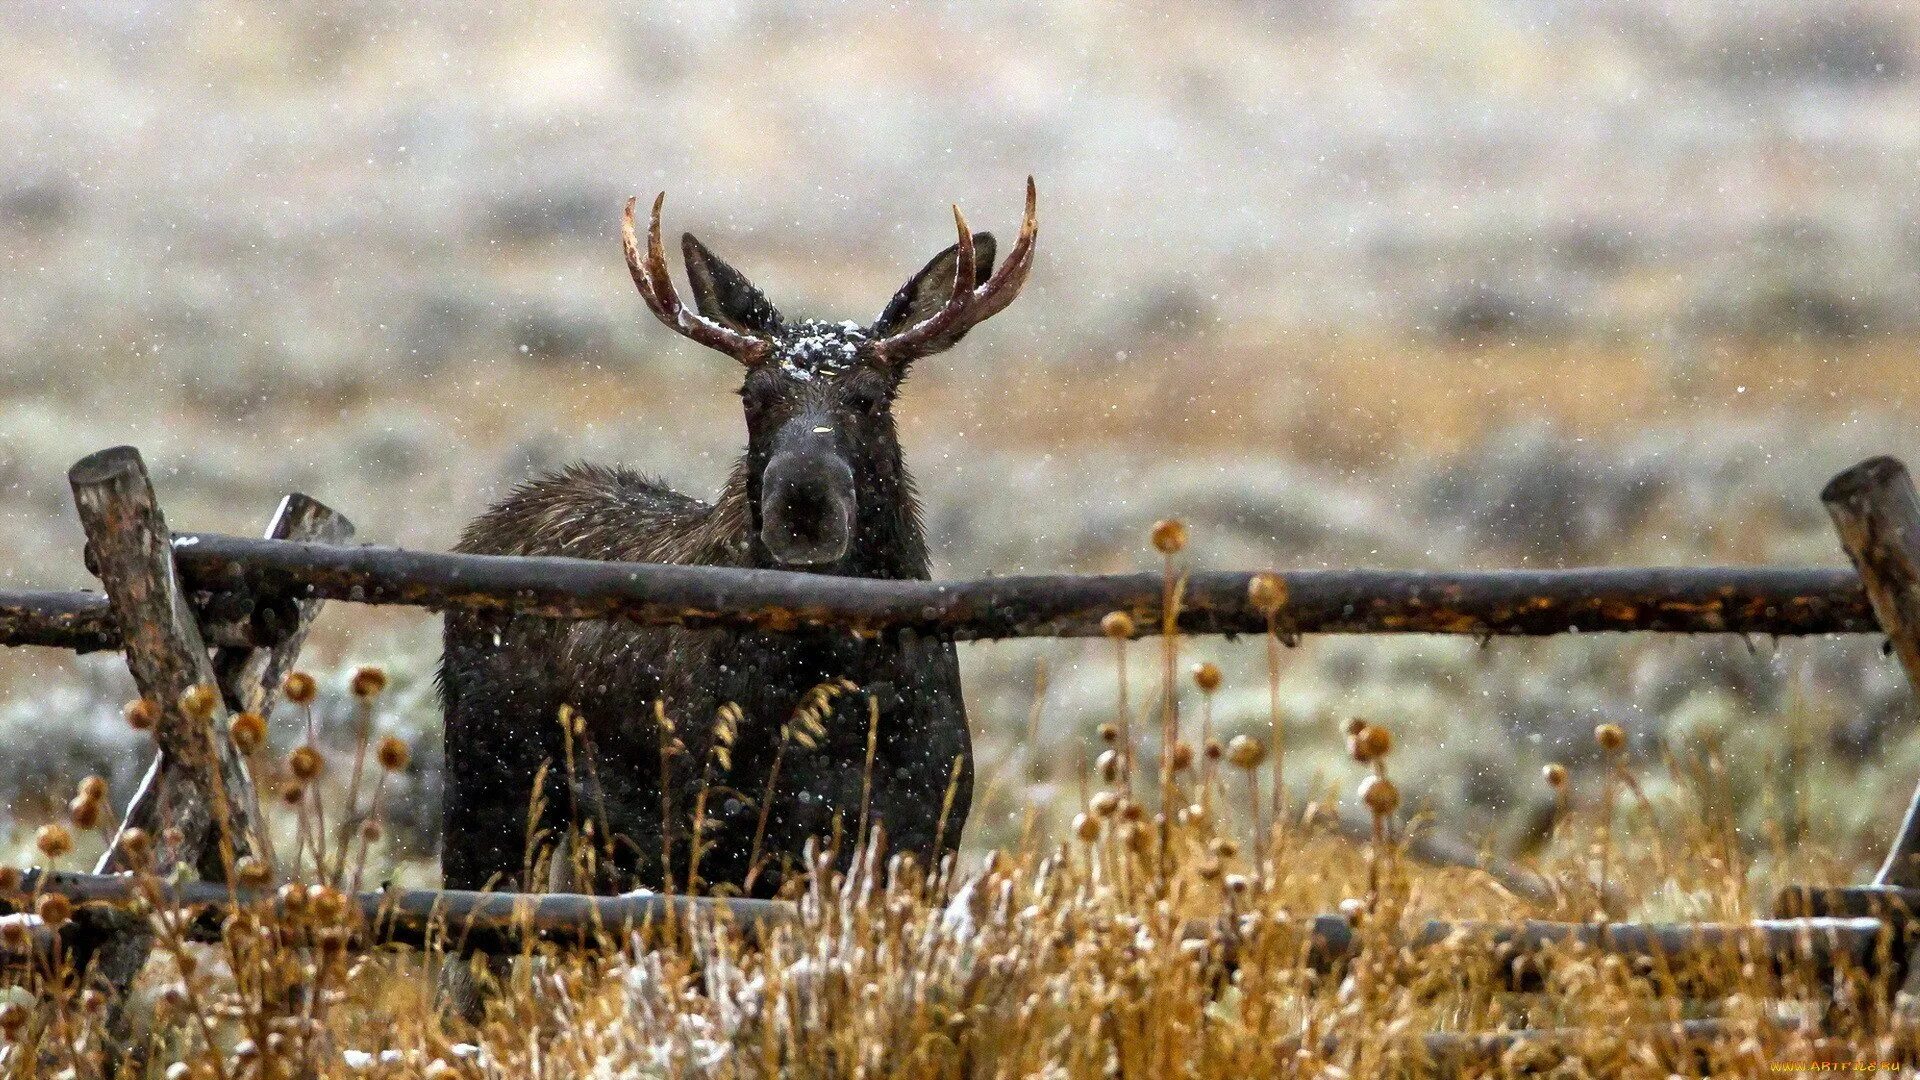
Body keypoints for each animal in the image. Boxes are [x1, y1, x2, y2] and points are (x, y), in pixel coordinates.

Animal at [439, 178, 1036, 899]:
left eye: (868, 397)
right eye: (755, 396)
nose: (803, 500)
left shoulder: (925, 832)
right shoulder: (705, 832)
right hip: (489, 784)